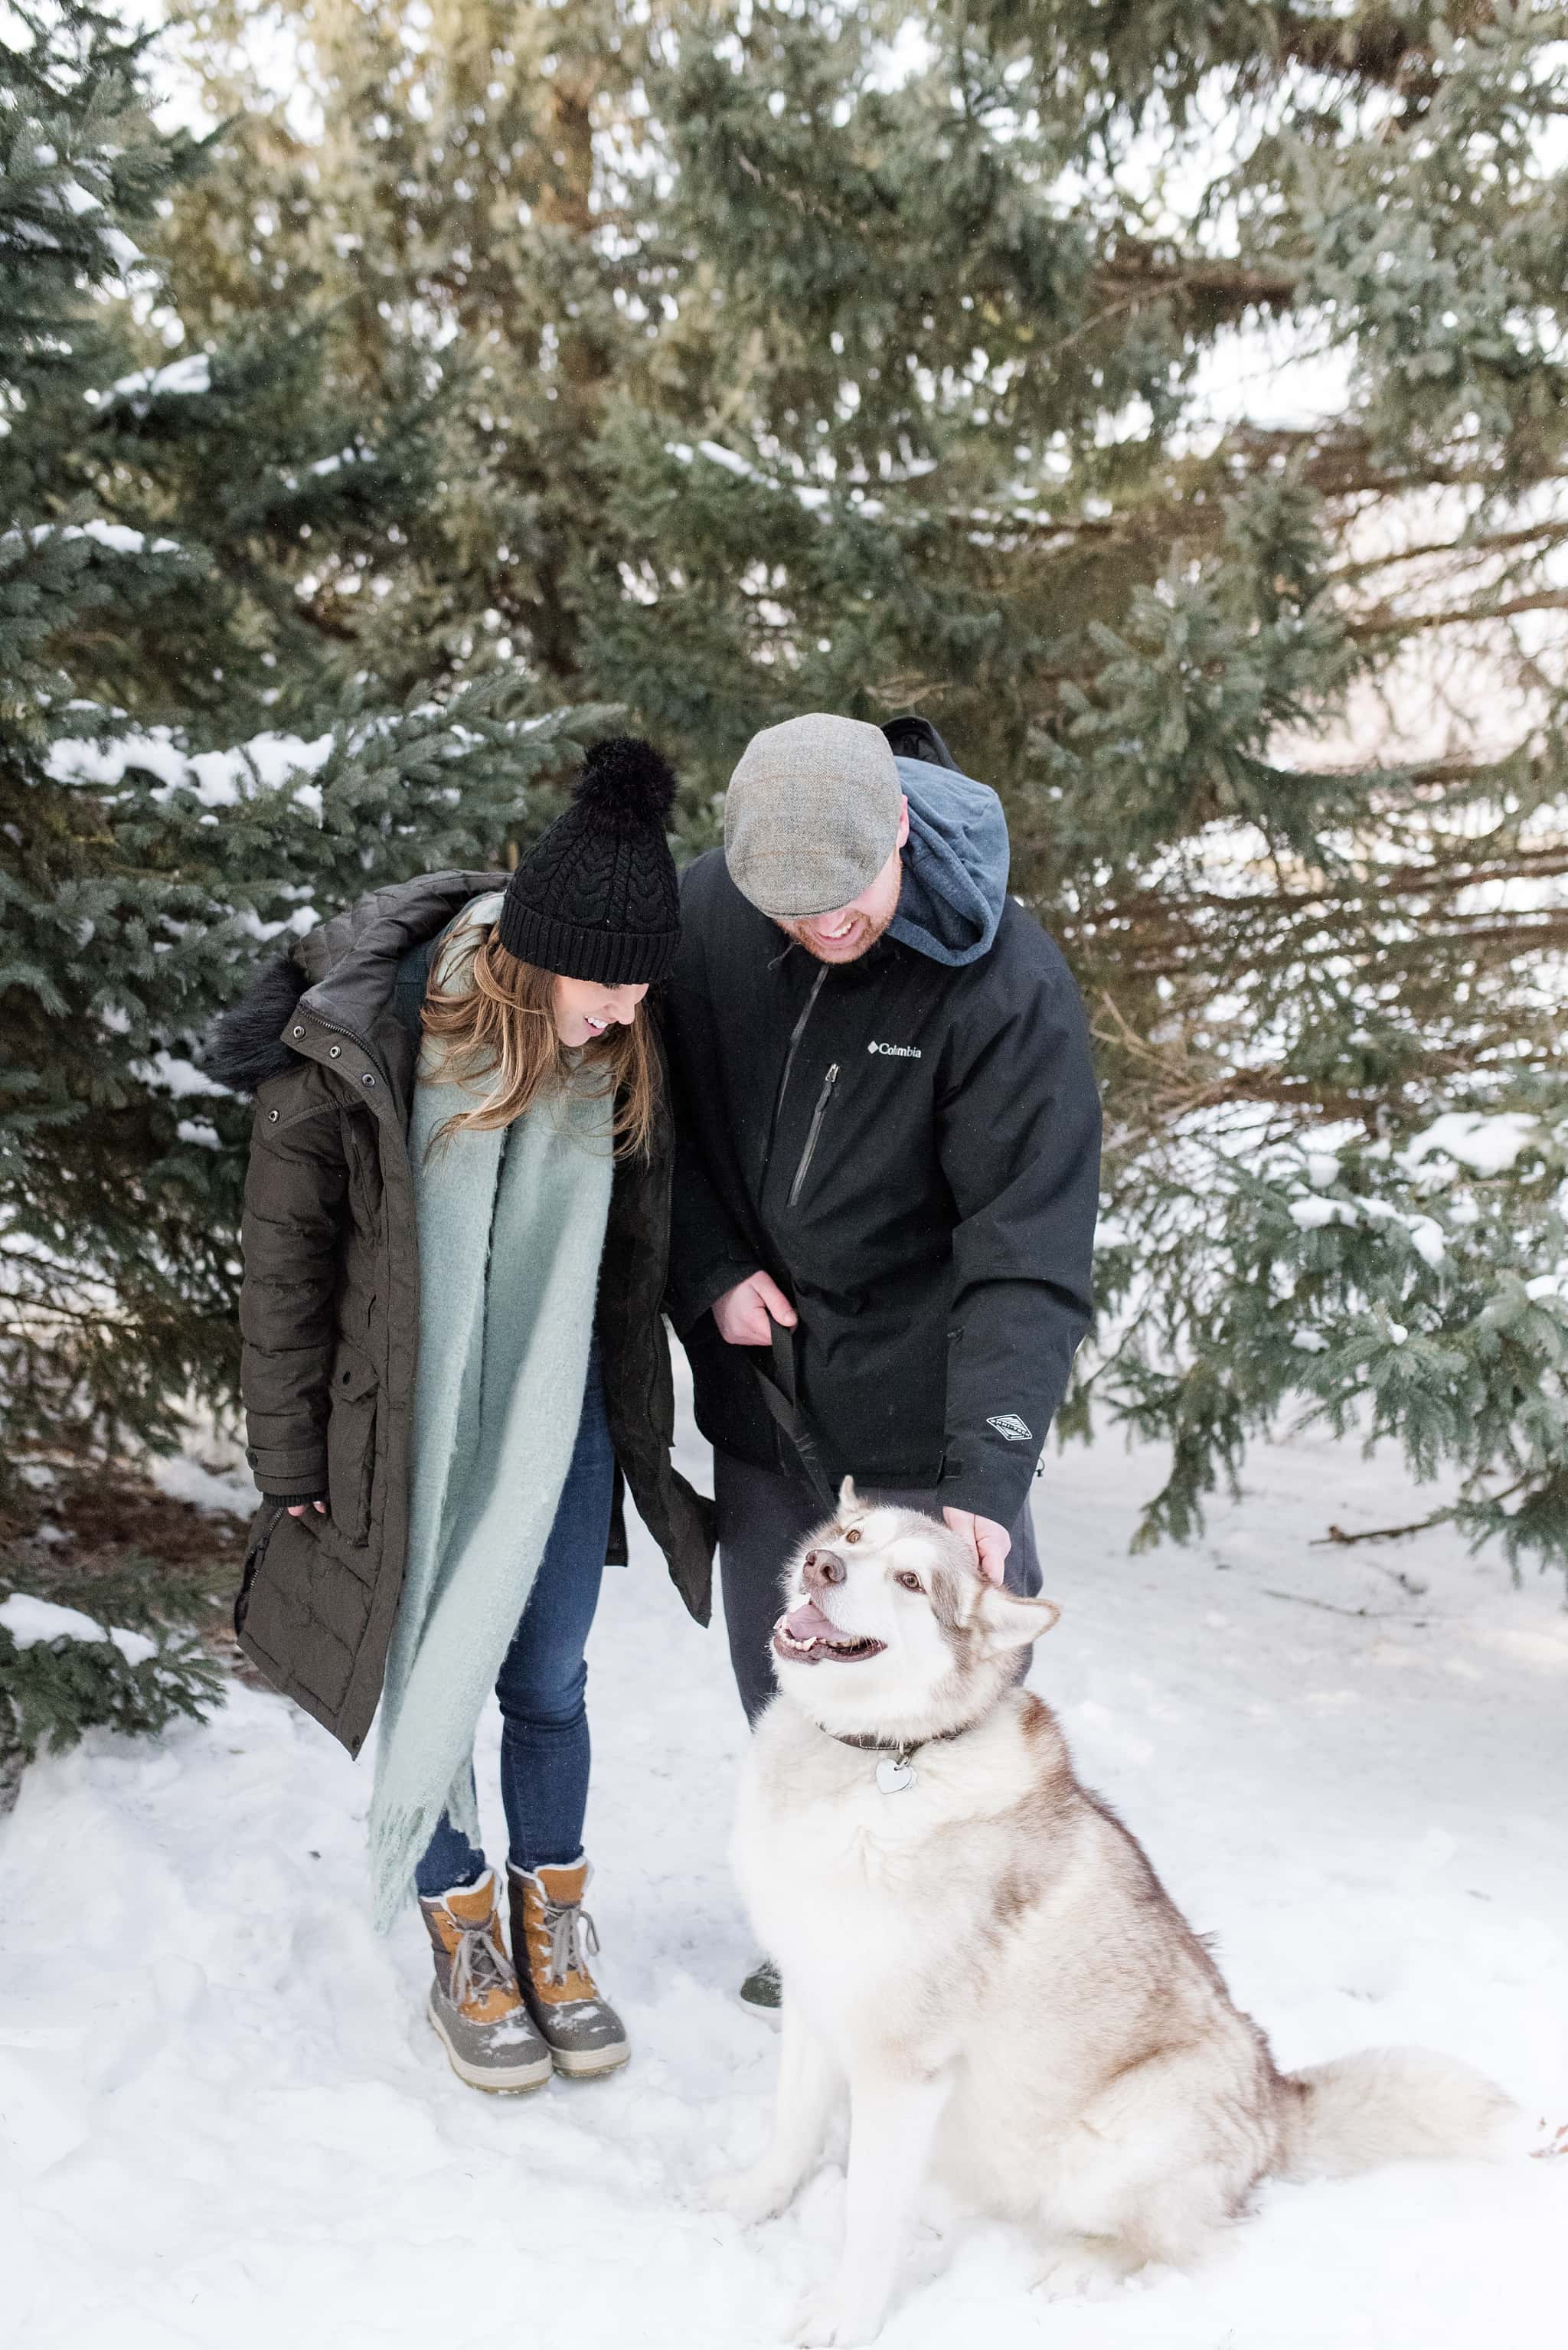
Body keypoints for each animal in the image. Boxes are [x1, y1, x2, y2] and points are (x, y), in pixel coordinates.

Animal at [724, 1476, 1523, 2340]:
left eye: (909, 1581)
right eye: (854, 1539)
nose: (822, 1565)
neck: (884, 1758)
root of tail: (1276, 2107)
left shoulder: (903, 2067)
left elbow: (870, 2219)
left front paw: (847, 2317)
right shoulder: (814, 1994)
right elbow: (790, 2129)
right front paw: (749, 2199)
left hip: (1111, 2140)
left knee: (1186, 2243)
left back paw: (1081, 2268)